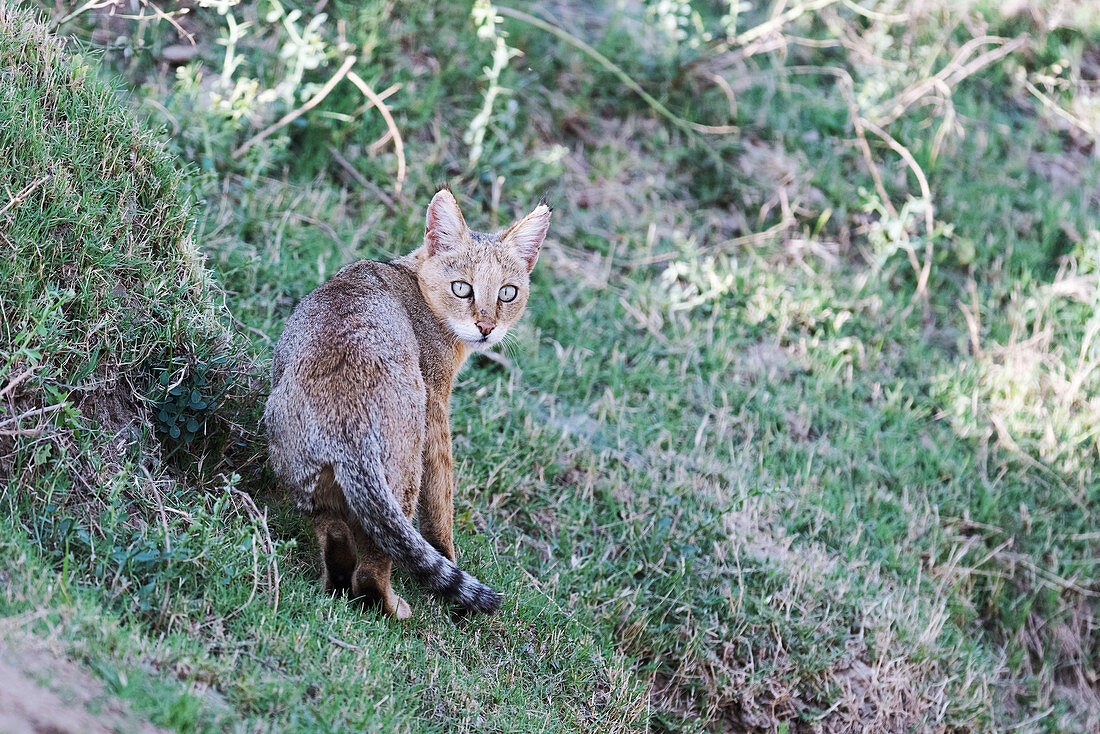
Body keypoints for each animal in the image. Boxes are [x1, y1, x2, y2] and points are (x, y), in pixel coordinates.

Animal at [266, 191, 550, 620]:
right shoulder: (436, 410)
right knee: (373, 567)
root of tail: (347, 427)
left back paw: (336, 582)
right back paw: (391, 606)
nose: (486, 328)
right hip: (403, 476)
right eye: (462, 289)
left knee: (336, 536)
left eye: (507, 292)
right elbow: (441, 502)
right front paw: (448, 557)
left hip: (307, 481)